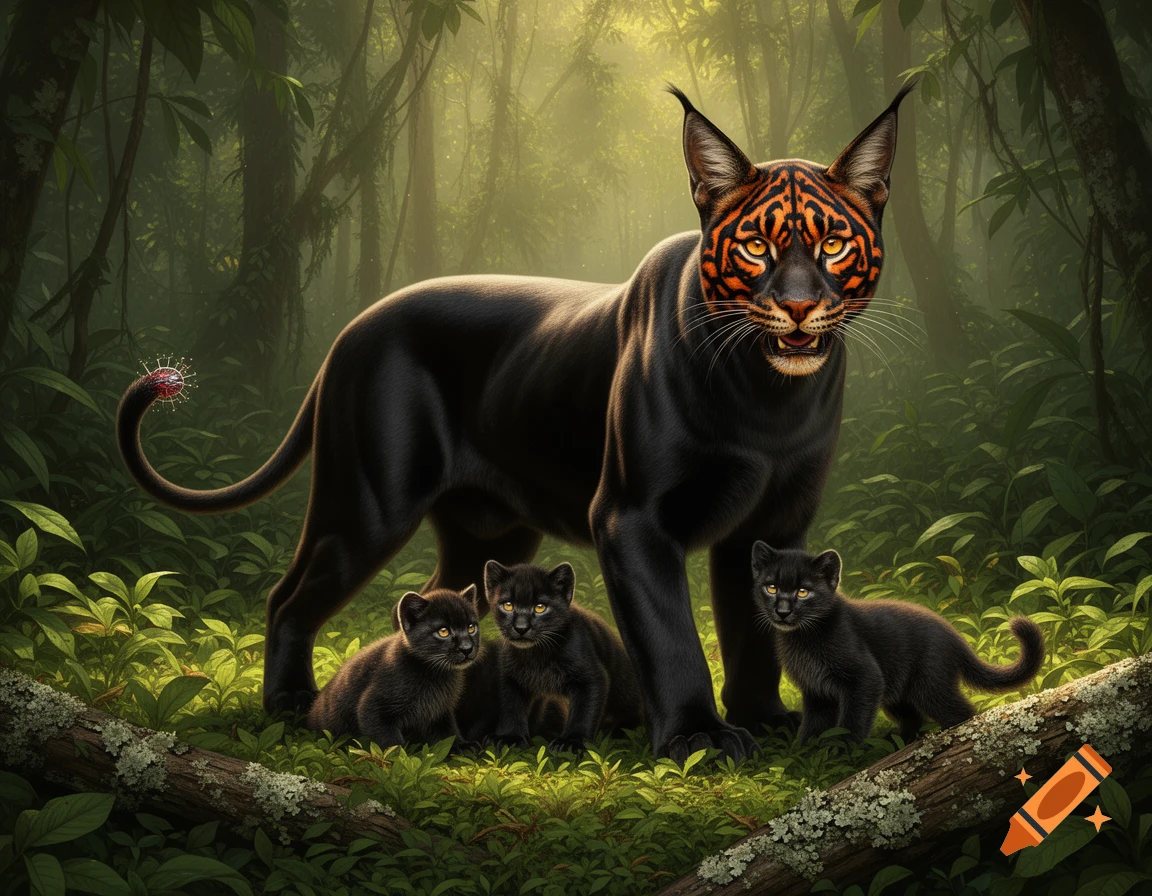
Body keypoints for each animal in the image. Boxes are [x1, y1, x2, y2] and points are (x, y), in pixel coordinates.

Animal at [116, 83, 911, 765]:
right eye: (755, 246)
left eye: (833, 244)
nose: (800, 307)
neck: (766, 399)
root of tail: (352, 329)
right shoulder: (634, 519)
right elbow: (673, 635)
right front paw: (699, 738)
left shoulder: (773, 521)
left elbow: (755, 625)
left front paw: (763, 720)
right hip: (366, 507)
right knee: (290, 596)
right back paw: (290, 704)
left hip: (488, 531)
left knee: (446, 602)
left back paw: (461, 719)